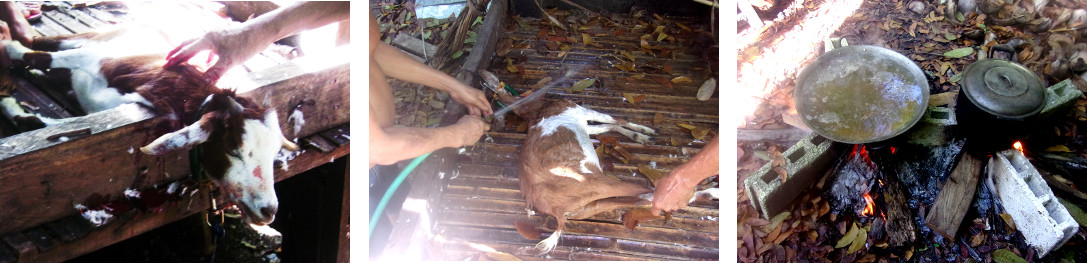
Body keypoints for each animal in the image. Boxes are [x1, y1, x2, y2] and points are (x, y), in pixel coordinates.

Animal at [0, 27, 297, 226]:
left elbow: (51, 126)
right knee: (42, 42)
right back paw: (14, 47)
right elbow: (43, 57)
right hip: (93, 37)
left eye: (273, 154)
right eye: (234, 149)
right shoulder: (99, 58)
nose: (269, 210)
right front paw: (13, 61)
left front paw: (10, 104)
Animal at [486, 70, 656, 253]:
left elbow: (612, 125)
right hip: (599, 182)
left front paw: (639, 135)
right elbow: (617, 120)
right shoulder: (580, 111)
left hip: (589, 207)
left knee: (638, 198)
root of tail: (557, 211)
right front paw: (644, 132)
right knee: (643, 190)